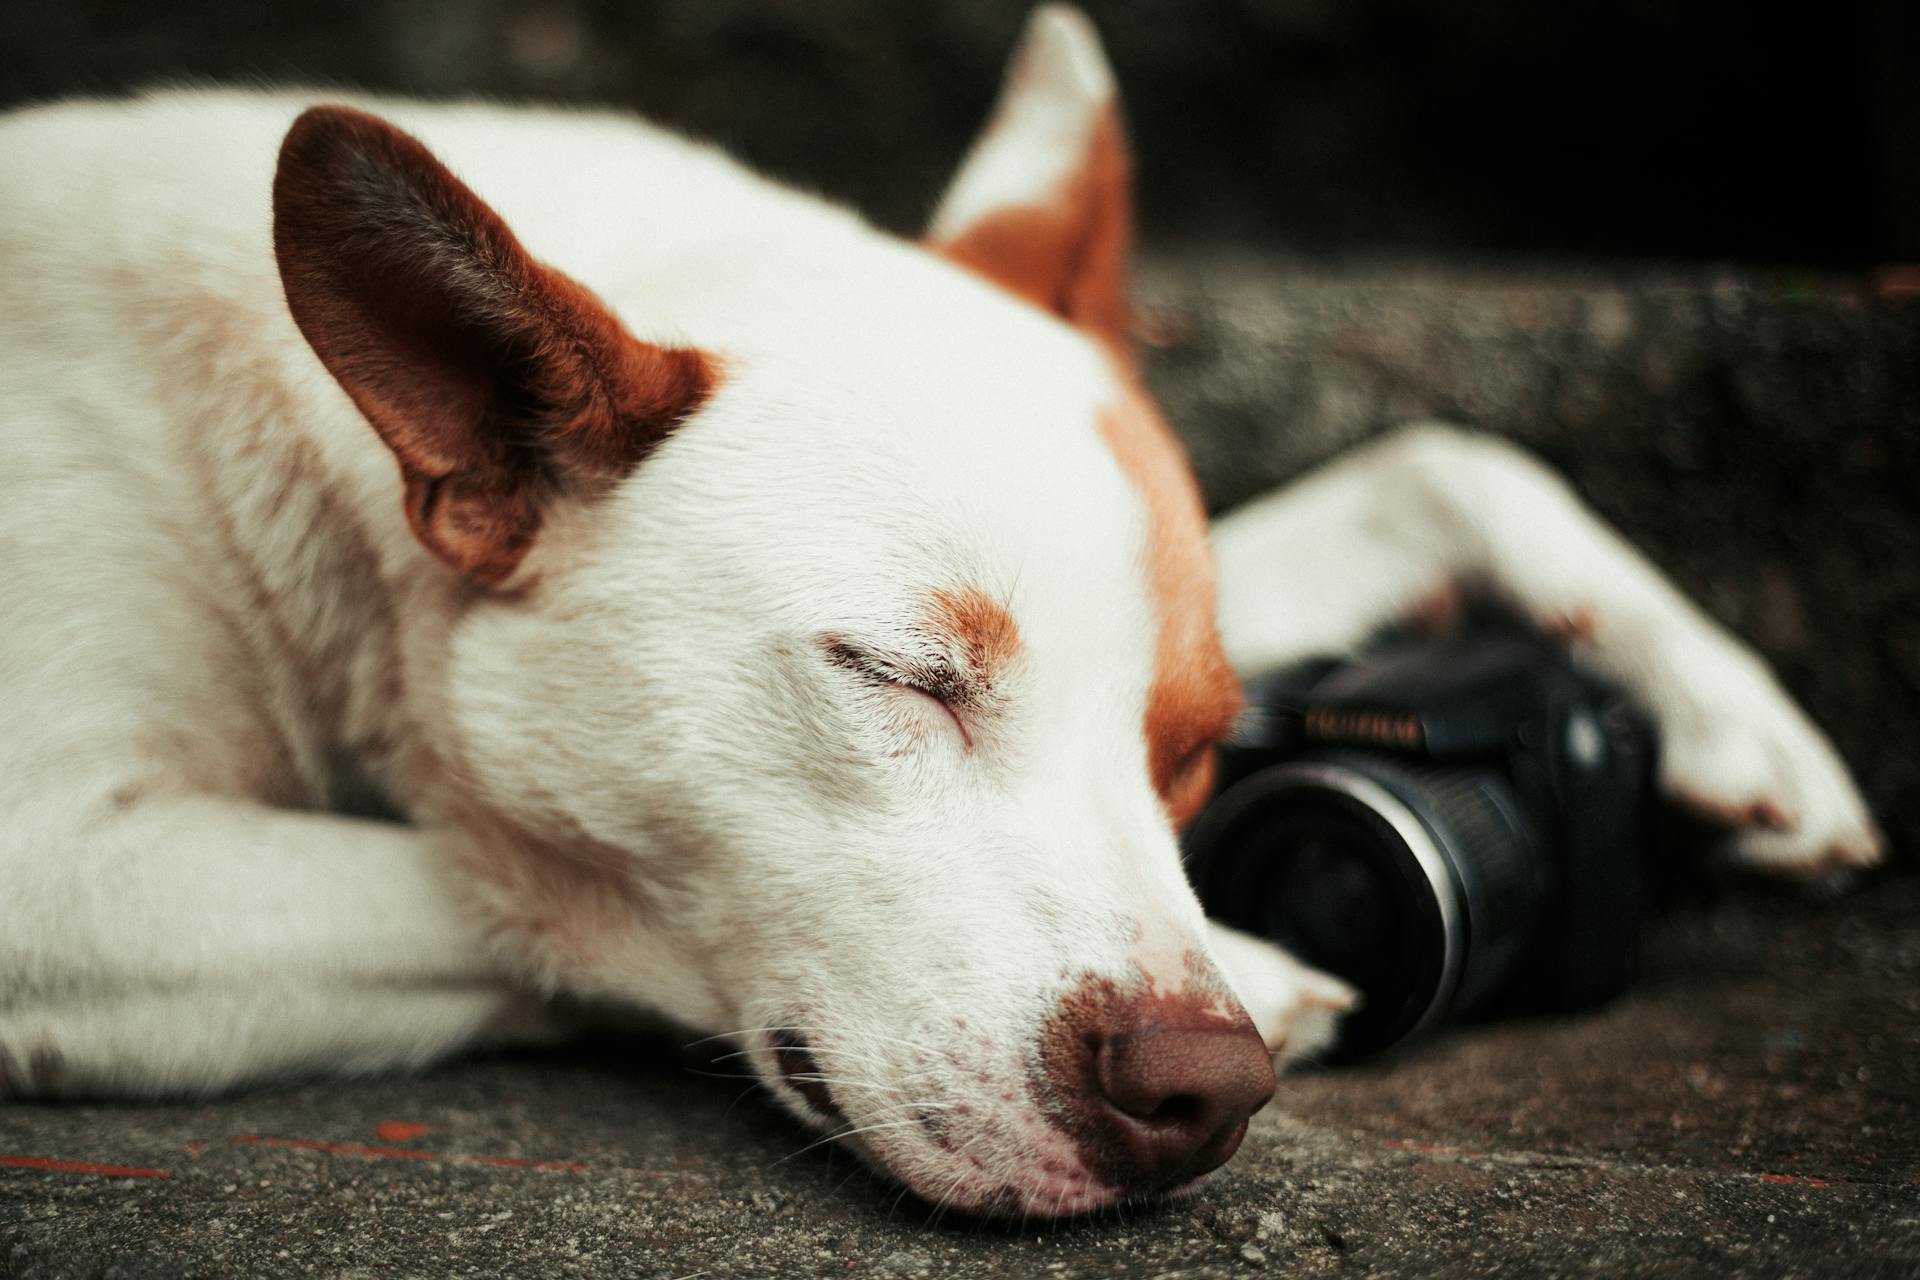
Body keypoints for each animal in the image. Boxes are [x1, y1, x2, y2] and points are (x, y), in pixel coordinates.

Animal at [0, 2, 1873, 1220]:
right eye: (898, 676)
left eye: (1197, 752)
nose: (1205, 1091)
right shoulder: (59, 879)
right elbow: (521, 885)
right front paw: (1282, 966)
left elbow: (1441, 453)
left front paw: (1741, 722)